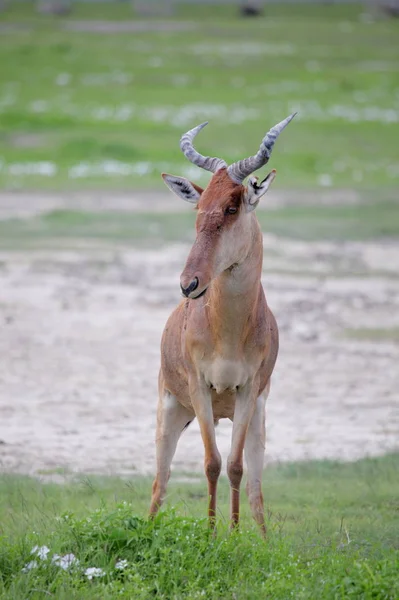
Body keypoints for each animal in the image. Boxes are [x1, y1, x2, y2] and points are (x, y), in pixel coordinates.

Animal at [148, 111, 296, 528]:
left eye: (232, 207)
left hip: (257, 418)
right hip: (172, 413)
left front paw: (232, 534)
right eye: (200, 207)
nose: (189, 284)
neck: (227, 332)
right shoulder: (199, 389)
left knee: (257, 489)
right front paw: (211, 534)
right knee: (159, 483)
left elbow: (234, 468)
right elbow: (212, 464)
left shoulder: (248, 391)